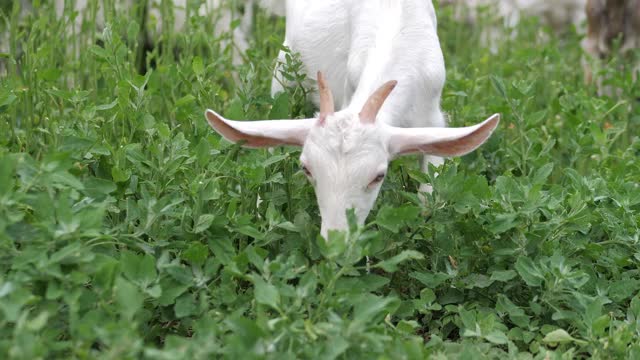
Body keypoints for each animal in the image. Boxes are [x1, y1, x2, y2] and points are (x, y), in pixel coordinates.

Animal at [205, 0, 500, 239]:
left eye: (378, 176)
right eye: (306, 169)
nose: (335, 242)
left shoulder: (432, 120)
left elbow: (429, 197)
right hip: (284, 71)